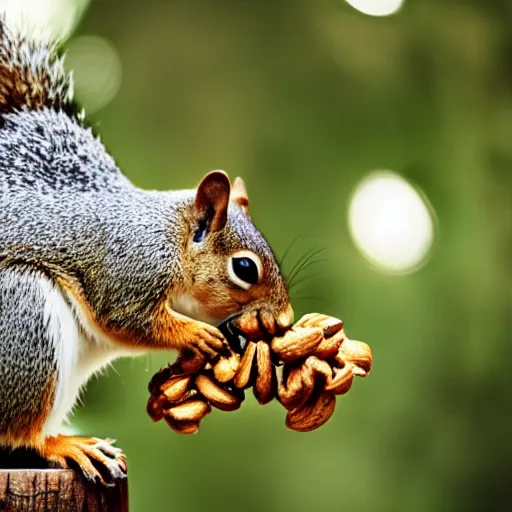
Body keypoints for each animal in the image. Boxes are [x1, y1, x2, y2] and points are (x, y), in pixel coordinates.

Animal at [0, 20, 292, 484]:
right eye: (245, 268)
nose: (285, 319)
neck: (169, 237)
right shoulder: (128, 269)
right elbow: (127, 321)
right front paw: (195, 335)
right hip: (22, 318)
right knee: (20, 433)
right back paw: (63, 444)